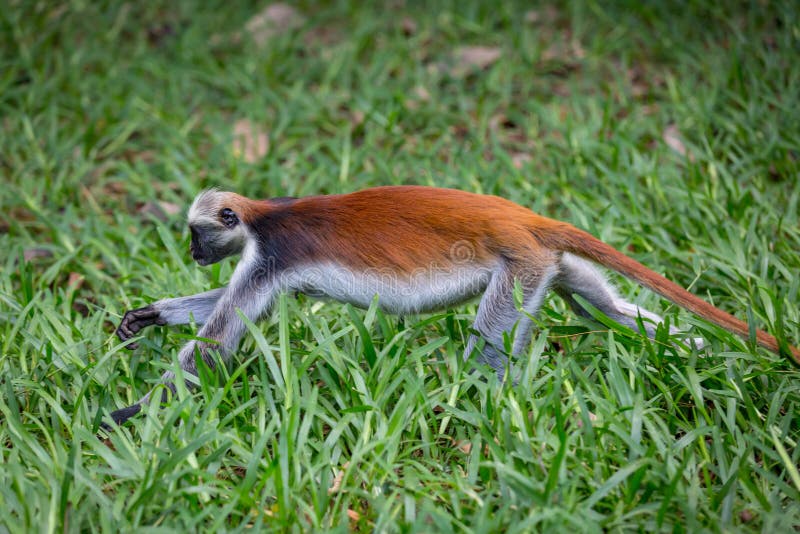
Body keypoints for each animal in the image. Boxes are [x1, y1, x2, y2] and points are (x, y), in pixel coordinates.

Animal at [106, 185, 800, 428]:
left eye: (196, 234)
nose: (192, 252)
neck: (261, 215)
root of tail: (522, 217)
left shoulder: (270, 253)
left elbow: (217, 339)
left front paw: (128, 415)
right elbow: (218, 317)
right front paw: (153, 315)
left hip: (520, 264)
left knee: (489, 343)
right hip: (546, 262)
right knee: (602, 309)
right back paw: (706, 360)